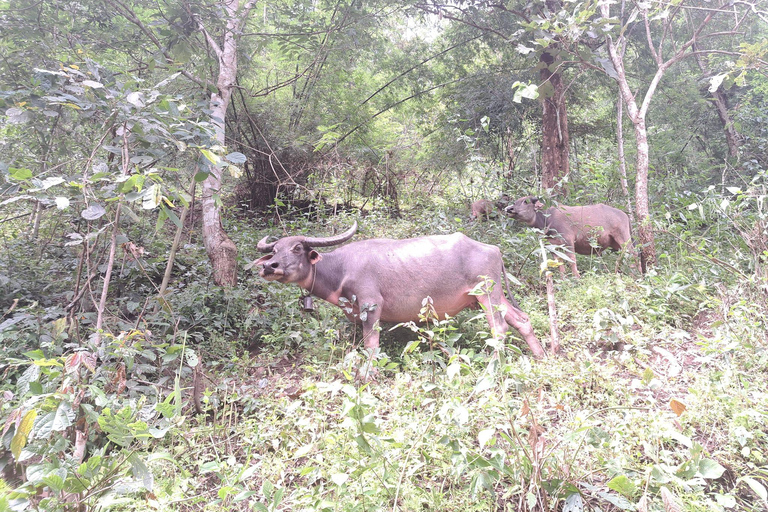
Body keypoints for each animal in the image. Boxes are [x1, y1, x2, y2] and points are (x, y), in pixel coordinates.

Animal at [249, 222, 544, 358]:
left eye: (297, 248)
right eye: (274, 250)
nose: (269, 267)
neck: (340, 269)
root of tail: (493, 249)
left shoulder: (371, 305)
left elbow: (371, 344)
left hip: (486, 293)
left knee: (499, 327)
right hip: (494, 295)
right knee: (522, 320)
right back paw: (542, 355)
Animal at [508, 196, 640, 278]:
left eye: (525, 201)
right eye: (516, 201)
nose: (509, 208)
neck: (547, 219)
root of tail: (624, 215)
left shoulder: (568, 242)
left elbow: (572, 260)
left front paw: (576, 277)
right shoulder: (553, 247)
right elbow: (559, 263)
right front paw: (563, 279)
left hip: (623, 237)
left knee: (633, 254)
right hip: (615, 244)